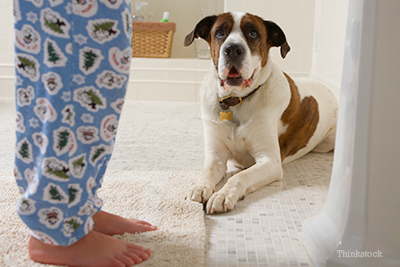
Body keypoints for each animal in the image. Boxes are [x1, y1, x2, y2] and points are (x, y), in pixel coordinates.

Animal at [184, 12, 338, 215]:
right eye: (219, 32)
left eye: (253, 33)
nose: (233, 49)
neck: (236, 101)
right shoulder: (216, 156)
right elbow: (207, 171)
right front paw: (199, 187)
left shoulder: (270, 162)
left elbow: (240, 177)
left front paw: (222, 195)